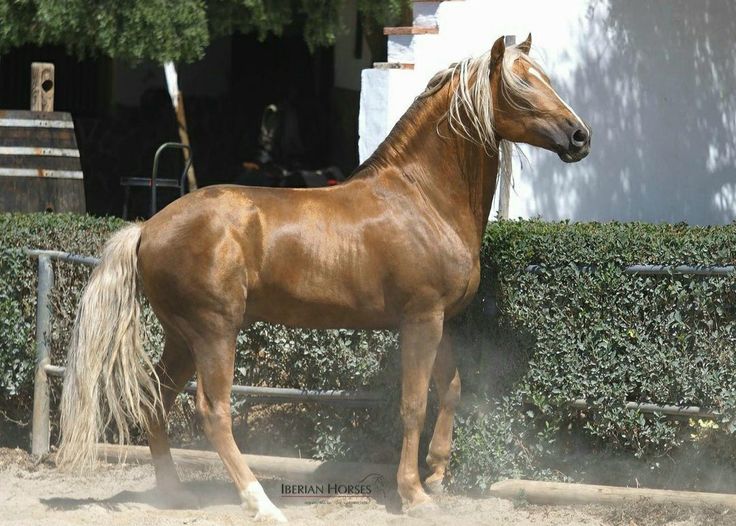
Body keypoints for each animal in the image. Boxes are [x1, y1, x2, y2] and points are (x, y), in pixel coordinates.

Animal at [57, 34, 588, 524]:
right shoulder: (420, 319)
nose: (580, 136)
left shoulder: (443, 320)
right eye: (521, 85)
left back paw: (176, 494)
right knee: (213, 410)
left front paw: (437, 474)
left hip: (181, 336)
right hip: (214, 332)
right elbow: (414, 402)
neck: (421, 199)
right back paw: (261, 503)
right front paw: (414, 494)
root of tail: (147, 228)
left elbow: (452, 388)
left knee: (155, 400)